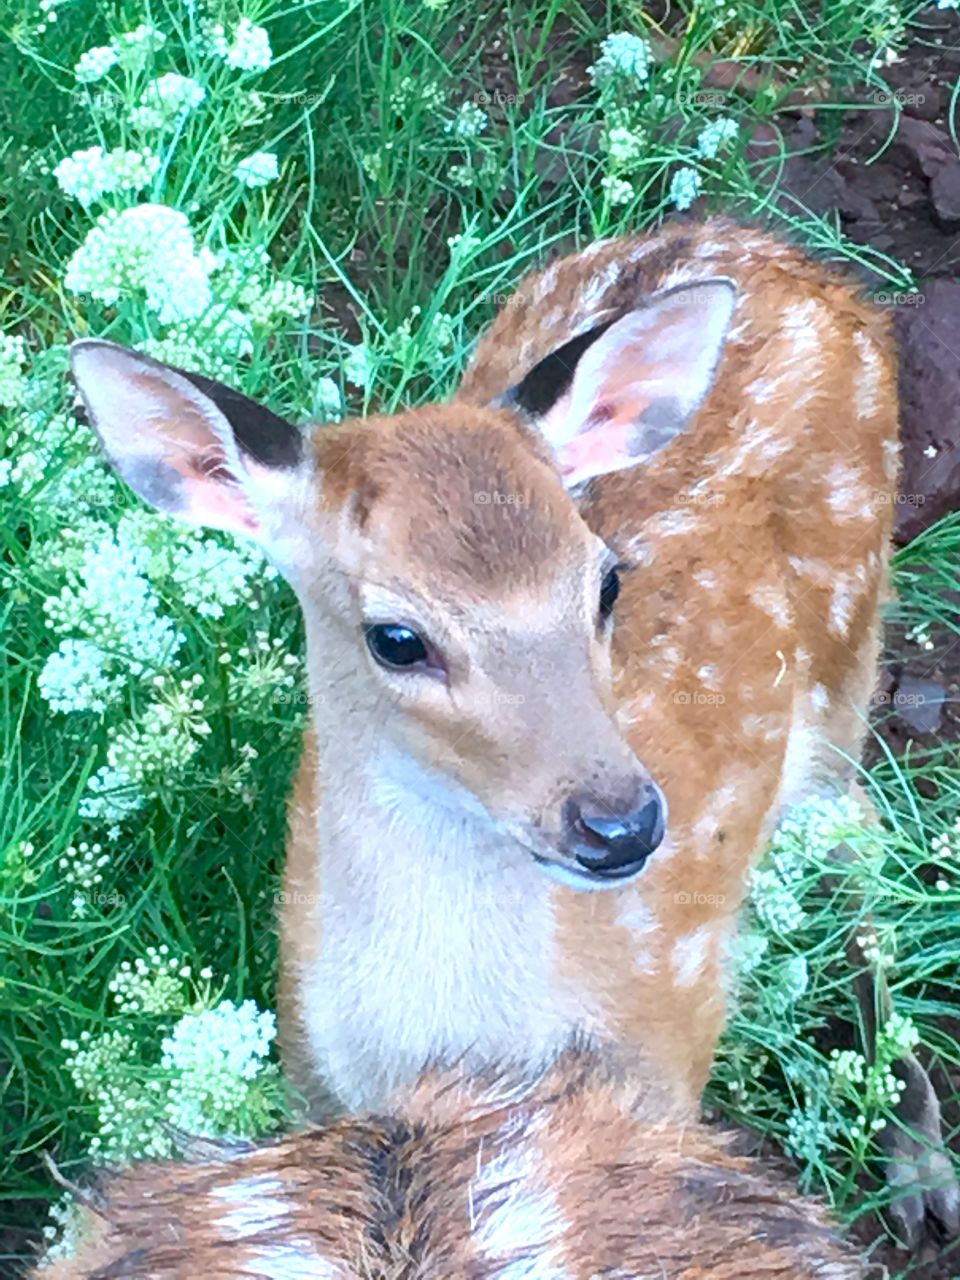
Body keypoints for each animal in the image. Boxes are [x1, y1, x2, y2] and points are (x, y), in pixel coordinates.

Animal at [68, 216, 957, 1246]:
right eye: (397, 638)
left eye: (606, 582)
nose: (621, 823)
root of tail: (783, 254)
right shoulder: (303, 1075)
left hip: (848, 655)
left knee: (861, 837)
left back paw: (918, 1162)